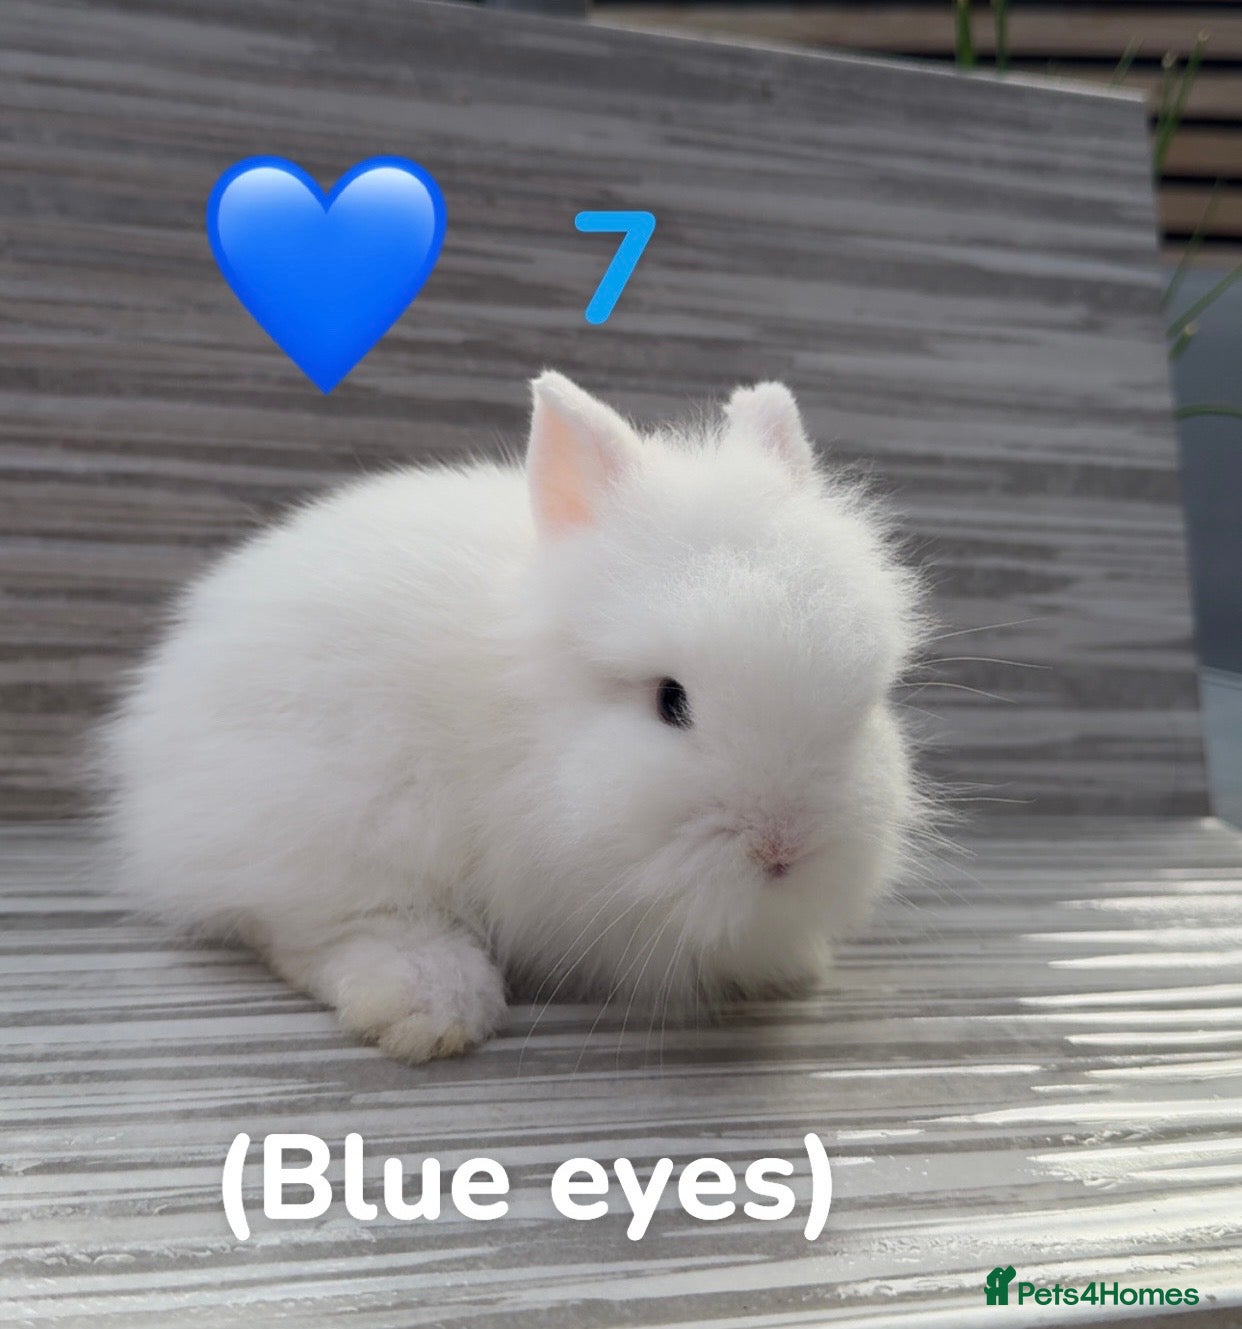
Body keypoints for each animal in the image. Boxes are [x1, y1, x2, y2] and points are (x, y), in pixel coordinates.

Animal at [98, 372, 927, 1063]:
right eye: (671, 700)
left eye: (861, 700)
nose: (784, 849)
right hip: (339, 813)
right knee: (322, 924)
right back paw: (430, 1005)